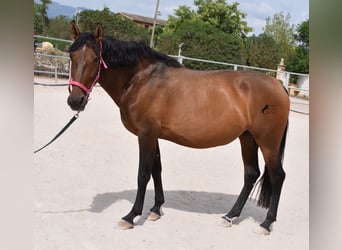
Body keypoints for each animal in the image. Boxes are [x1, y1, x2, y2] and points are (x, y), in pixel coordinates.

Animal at [66, 21, 288, 234]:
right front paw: (156, 210)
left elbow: (143, 174)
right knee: (251, 174)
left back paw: (266, 223)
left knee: (277, 176)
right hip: (248, 137)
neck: (142, 80)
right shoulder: (153, 135)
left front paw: (131, 216)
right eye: (71, 56)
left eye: (96, 58)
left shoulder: (146, 135)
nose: (75, 101)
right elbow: (157, 170)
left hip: (268, 142)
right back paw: (230, 216)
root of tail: (279, 85)